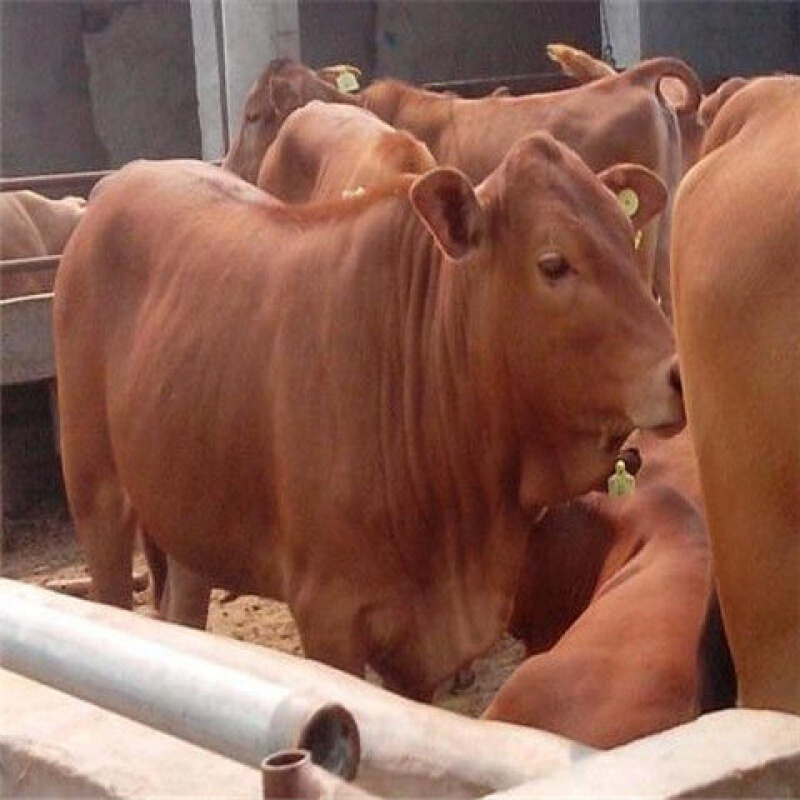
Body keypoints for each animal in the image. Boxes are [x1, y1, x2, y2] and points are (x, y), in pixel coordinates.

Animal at [56, 136, 680, 700]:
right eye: (553, 263)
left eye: (628, 240)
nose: (677, 373)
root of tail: (121, 180)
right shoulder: (329, 615)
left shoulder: (419, 646)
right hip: (96, 495)